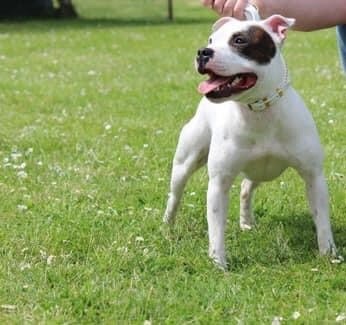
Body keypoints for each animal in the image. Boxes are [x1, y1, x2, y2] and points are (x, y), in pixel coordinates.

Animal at [164, 15, 336, 268]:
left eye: (239, 40)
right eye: (211, 40)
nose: (203, 52)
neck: (258, 111)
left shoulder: (314, 176)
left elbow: (322, 219)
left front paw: (330, 254)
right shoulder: (219, 183)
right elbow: (216, 226)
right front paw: (218, 262)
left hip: (261, 172)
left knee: (246, 188)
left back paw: (246, 222)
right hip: (185, 163)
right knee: (175, 195)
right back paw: (168, 225)